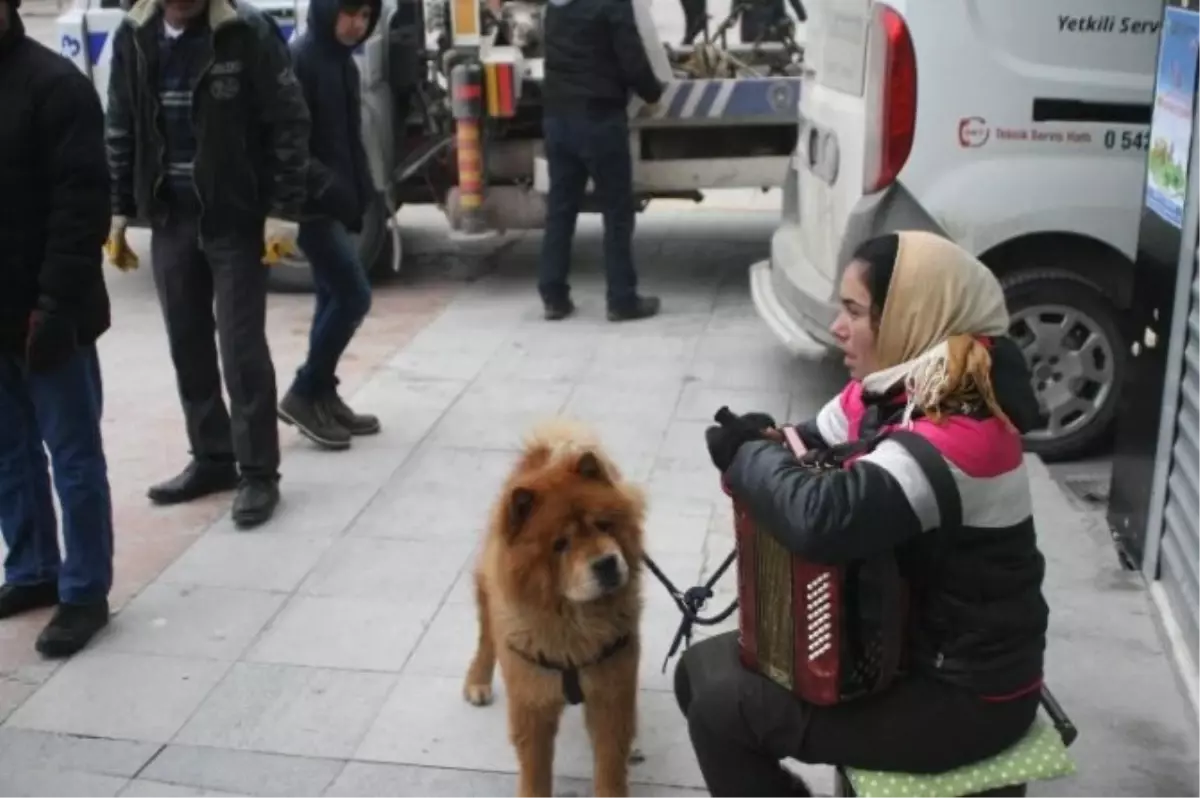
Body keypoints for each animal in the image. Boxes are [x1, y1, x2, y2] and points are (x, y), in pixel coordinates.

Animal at [463, 420, 648, 792]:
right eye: (561, 544)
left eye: (604, 525)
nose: (606, 563)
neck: (574, 628)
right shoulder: (532, 704)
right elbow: (535, 772)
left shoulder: (612, 693)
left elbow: (609, 764)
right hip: (487, 595)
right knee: (486, 638)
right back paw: (477, 681)